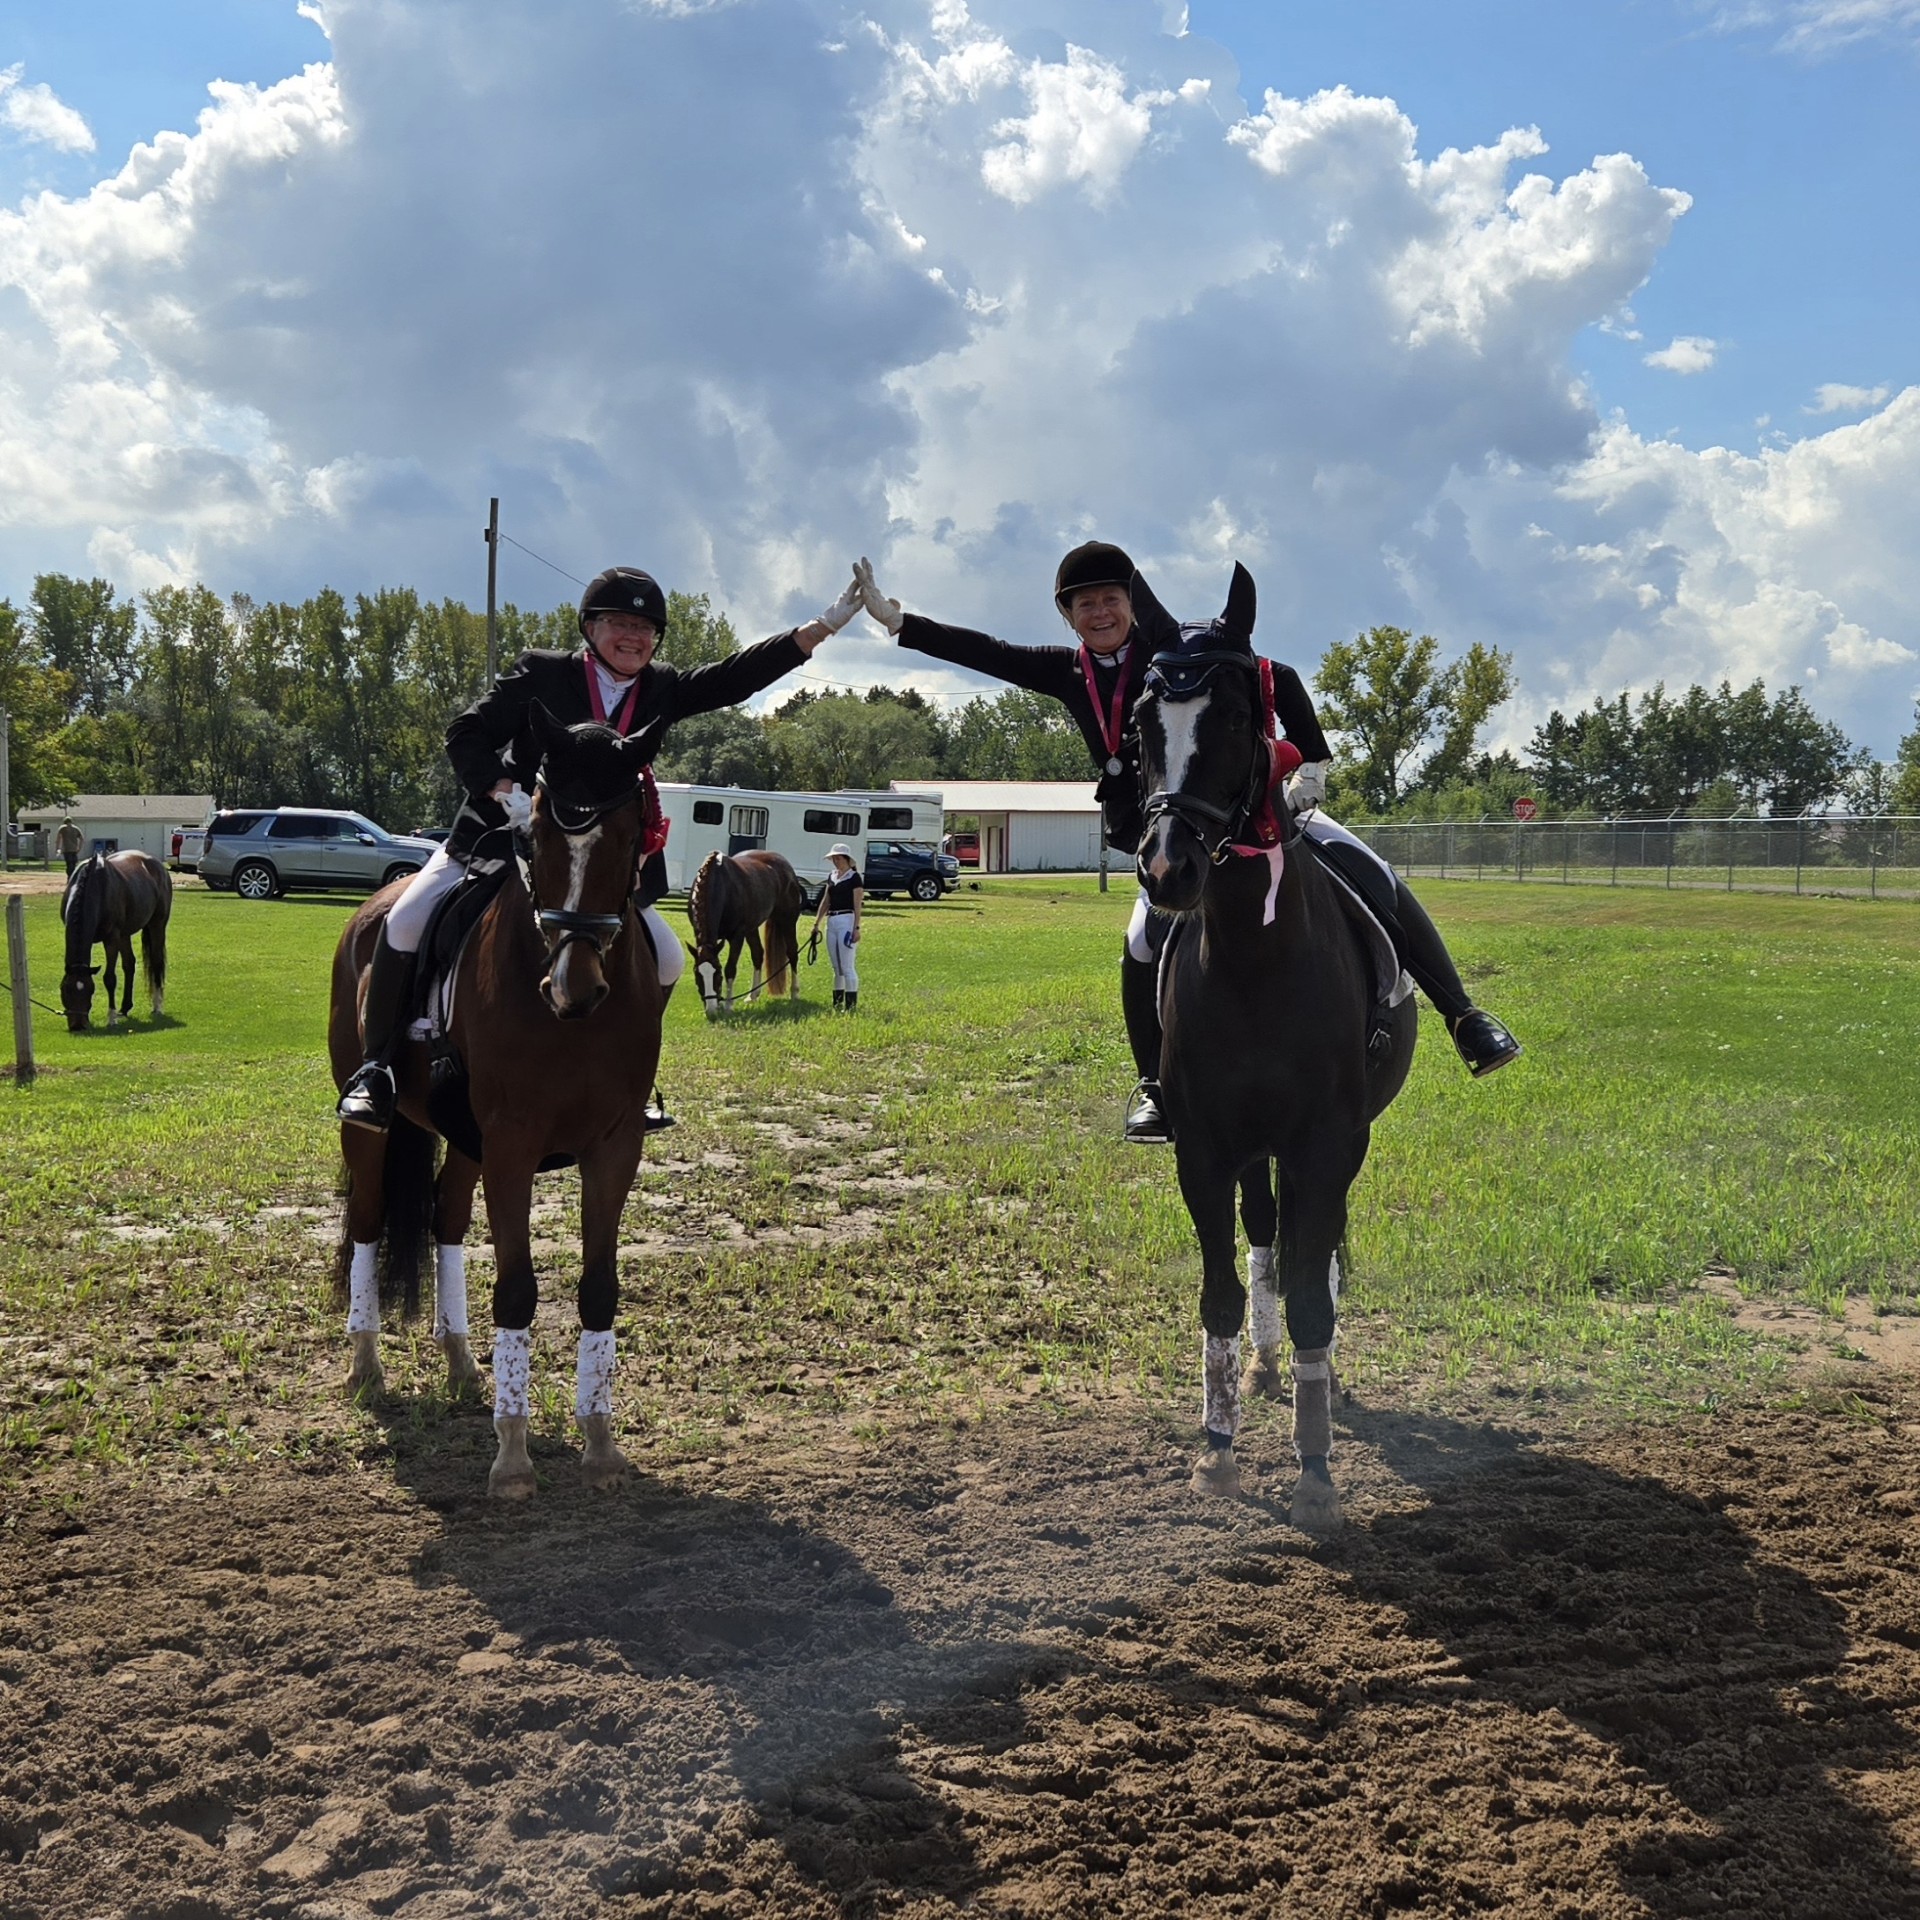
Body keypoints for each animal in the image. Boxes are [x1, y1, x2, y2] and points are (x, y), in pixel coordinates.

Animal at [59, 850, 173, 1031]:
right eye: (65, 989)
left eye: (90, 990)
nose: (78, 1026)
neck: (94, 886)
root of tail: (157, 865)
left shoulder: (111, 939)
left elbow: (109, 978)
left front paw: (111, 1018)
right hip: (124, 935)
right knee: (129, 964)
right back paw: (125, 1008)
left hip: (157, 925)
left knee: (156, 962)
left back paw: (157, 1006)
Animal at [327, 705, 670, 1499]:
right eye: (535, 834)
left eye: (628, 837)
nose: (574, 987)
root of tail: (367, 912)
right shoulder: (514, 1143)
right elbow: (516, 1289)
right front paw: (512, 1458)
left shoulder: (613, 1147)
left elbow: (599, 1288)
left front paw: (600, 1444)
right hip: (374, 1126)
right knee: (366, 1222)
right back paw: (366, 1367)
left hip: (466, 1140)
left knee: (447, 1223)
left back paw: (460, 1363)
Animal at [685, 848, 804, 1017]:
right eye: (697, 974)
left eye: (718, 975)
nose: (711, 1010)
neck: (721, 886)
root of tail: (786, 867)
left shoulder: (737, 936)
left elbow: (730, 969)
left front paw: (728, 1005)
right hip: (752, 928)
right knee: (758, 954)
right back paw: (752, 995)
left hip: (788, 920)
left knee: (792, 953)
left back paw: (794, 992)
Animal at [1133, 563, 1417, 1531]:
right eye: (1142, 725)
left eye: (1234, 718)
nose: (1167, 867)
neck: (1254, 966)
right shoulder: (1205, 1149)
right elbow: (1223, 1287)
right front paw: (1217, 1448)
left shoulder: (1327, 1142)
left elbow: (1310, 1298)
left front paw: (1316, 1469)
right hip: (1254, 1149)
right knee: (1268, 1237)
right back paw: (1259, 1370)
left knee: (1309, 1255)